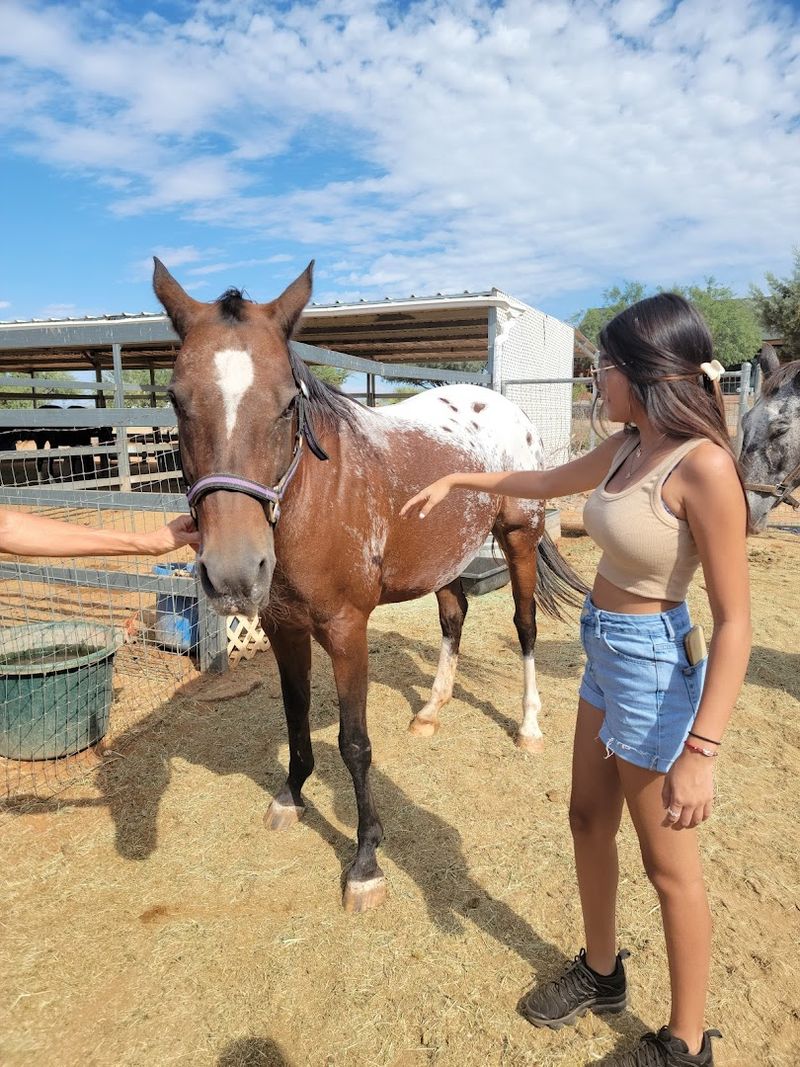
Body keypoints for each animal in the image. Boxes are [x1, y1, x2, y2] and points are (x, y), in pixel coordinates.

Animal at [153, 259, 588, 912]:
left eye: (287, 404)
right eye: (177, 400)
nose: (233, 571)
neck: (312, 498)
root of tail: (502, 405)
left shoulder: (346, 630)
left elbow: (355, 743)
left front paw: (365, 862)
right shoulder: (283, 627)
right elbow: (295, 715)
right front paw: (291, 795)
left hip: (518, 539)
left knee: (525, 626)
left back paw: (529, 727)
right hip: (445, 559)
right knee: (454, 616)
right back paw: (431, 709)